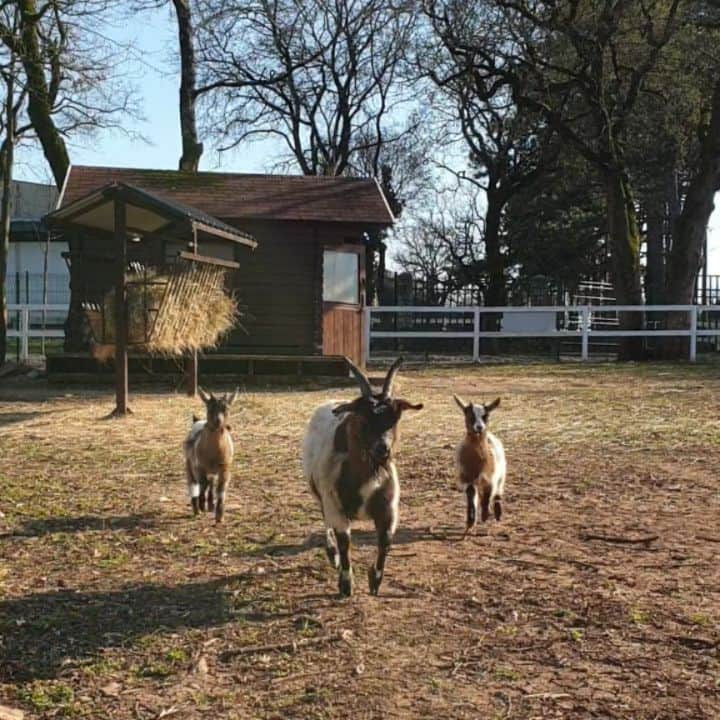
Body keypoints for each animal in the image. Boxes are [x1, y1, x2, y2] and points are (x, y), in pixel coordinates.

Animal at [183, 388, 239, 524]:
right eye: (209, 408)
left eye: (226, 408)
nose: (218, 421)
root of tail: (198, 420)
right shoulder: (199, 466)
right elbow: (202, 484)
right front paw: (202, 506)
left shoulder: (225, 468)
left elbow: (221, 489)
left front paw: (219, 515)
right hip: (189, 465)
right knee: (194, 484)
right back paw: (197, 509)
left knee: (211, 482)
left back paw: (210, 505)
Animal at [302, 358, 424, 600]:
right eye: (363, 419)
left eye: (394, 419)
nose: (382, 449)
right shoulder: (336, 506)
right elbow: (344, 543)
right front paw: (346, 584)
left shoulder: (388, 510)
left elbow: (385, 542)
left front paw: (374, 580)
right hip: (318, 492)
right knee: (324, 519)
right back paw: (331, 554)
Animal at [456, 394, 506, 536]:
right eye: (469, 414)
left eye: (486, 416)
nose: (479, 427)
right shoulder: (467, 479)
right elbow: (471, 496)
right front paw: (470, 521)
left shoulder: (490, 478)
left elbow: (488, 496)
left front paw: (484, 515)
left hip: (501, 475)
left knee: (497, 493)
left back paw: (497, 513)